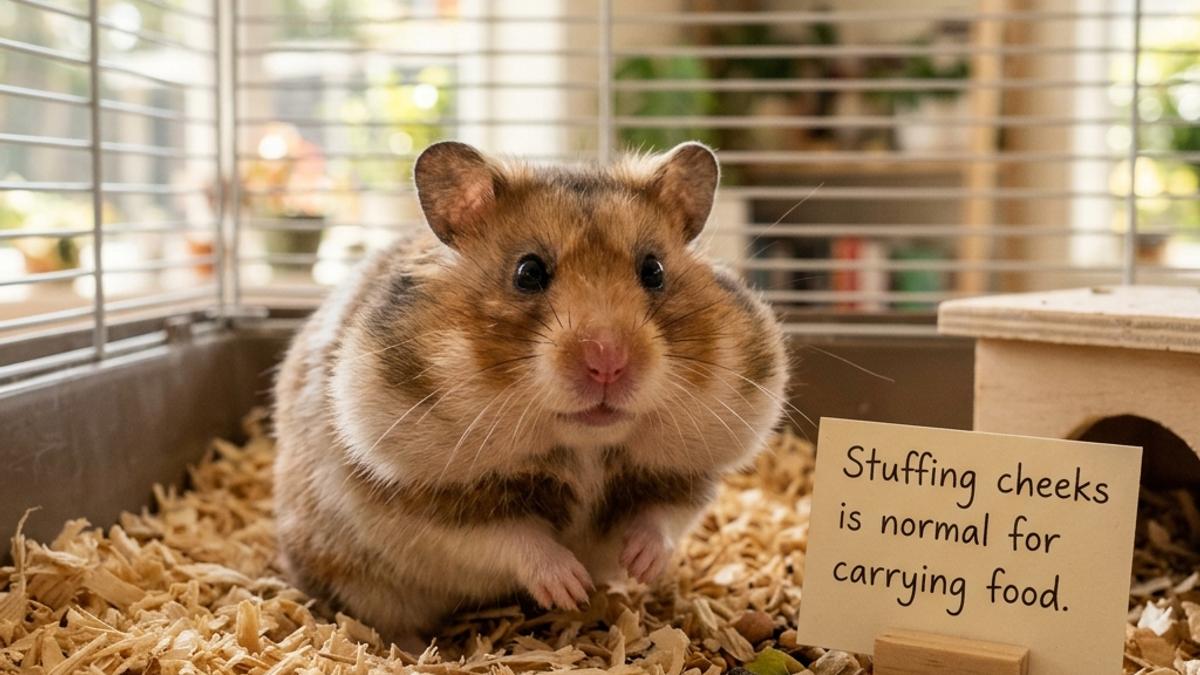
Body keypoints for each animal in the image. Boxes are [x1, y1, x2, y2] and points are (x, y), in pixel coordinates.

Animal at [272, 140, 789, 641]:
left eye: (654, 271)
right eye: (528, 273)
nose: (607, 361)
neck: (585, 447)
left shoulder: (688, 473)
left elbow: (661, 516)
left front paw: (639, 566)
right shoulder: (429, 500)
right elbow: (511, 539)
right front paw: (571, 587)